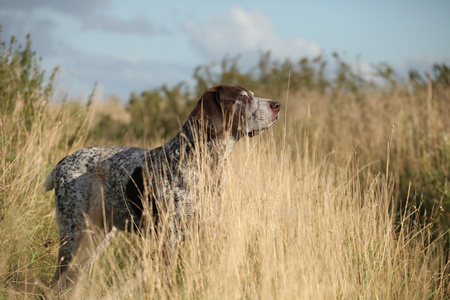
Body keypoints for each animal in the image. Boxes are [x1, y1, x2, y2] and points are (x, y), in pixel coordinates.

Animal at [44, 84, 280, 288]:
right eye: (242, 98)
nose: (277, 105)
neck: (201, 163)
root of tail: (63, 161)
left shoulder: (205, 233)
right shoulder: (168, 238)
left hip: (97, 238)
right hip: (73, 235)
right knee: (57, 281)